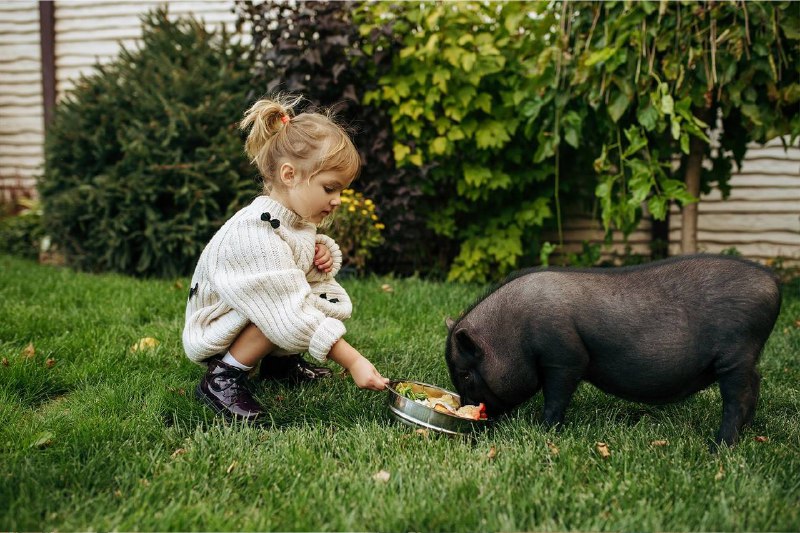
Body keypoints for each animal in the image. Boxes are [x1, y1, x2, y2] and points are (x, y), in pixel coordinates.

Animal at [446, 254, 784, 444]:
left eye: (466, 374)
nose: (471, 410)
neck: (515, 333)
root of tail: (773, 284)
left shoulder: (565, 358)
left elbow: (555, 397)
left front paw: (544, 430)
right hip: (745, 357)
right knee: (755, 383)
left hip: (736, 353)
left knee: (737, 397)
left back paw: (719, 446)